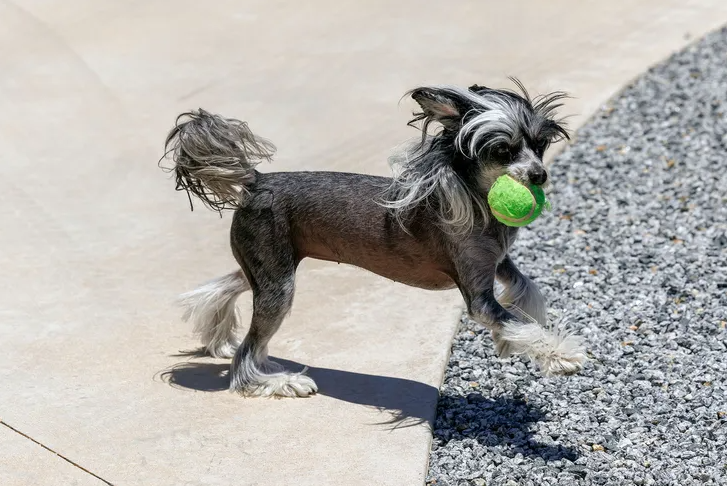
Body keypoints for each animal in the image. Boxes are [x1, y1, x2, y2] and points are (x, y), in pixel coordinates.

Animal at [162, 80, 588, 398]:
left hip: (269, 266)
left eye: (539, 145)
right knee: (248, 354)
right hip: (278, 283)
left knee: (229, 288)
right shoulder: (478, 294)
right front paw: (559, 354)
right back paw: (277, 381)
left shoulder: (496, 263)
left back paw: (219, 336)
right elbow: (511, 317)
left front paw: (512, 338)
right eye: (502, 150)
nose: (538, 175)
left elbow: (526, 289)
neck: (472, 196)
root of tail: (255, 181)